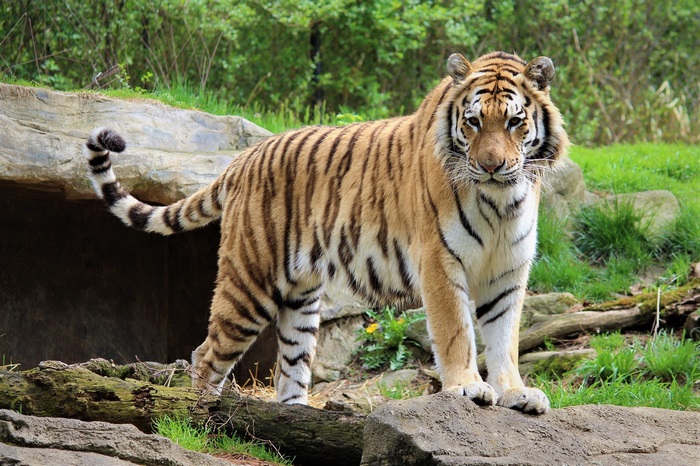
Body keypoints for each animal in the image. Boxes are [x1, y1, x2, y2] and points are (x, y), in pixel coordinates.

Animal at [83, 51, 569, 414]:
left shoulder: (507, 269)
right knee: (205, 355)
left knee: (289, 369)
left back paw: (298, 422)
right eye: (473, 122)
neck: (501, 201)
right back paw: (198, 414)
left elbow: (504, 338)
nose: (491, 165)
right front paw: (467, 387)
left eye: (514, 122)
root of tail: (243, 158)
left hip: (300, 297)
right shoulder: (440, 260)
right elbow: (456, 333)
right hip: (250, 282)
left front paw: (515, 392)